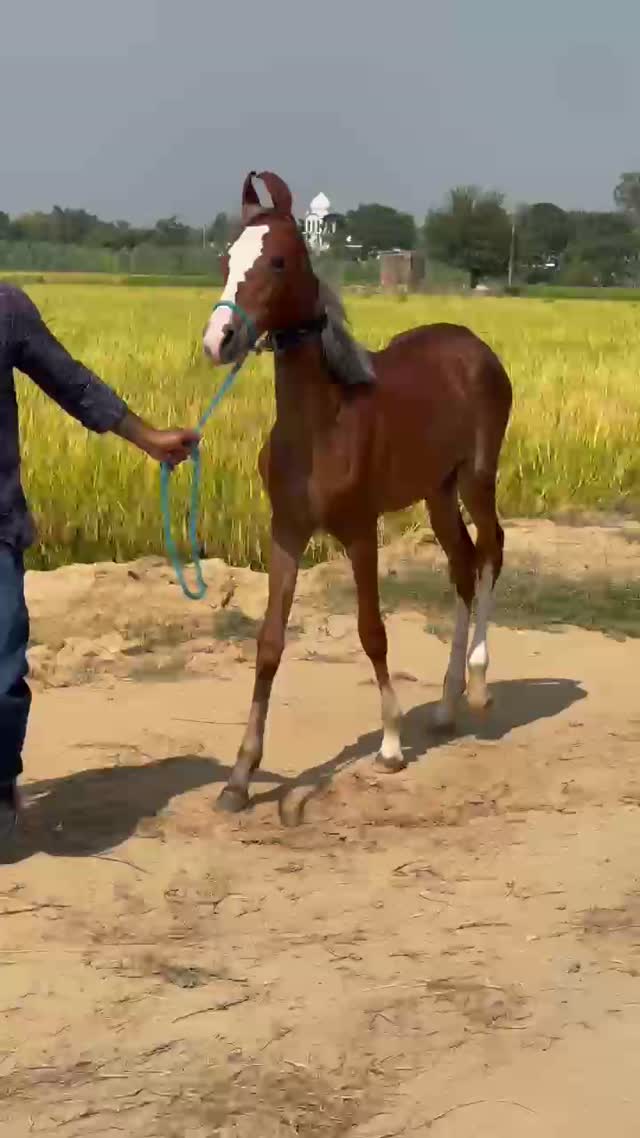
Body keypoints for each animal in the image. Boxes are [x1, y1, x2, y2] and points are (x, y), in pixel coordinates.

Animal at [203, 171, 513, 813]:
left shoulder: (359, 530)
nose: (219, 339)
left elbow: (373, 631)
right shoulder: (287, 532)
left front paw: (391, 745)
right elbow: (269, 643)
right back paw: (445, 706)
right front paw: (240, 776)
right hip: (438, 493)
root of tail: (476, 348)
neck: (322, 422)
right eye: (227, 257)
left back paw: (477, 684)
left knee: (493, 549)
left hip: (477, 477)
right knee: (463, 564)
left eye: (277, 260)